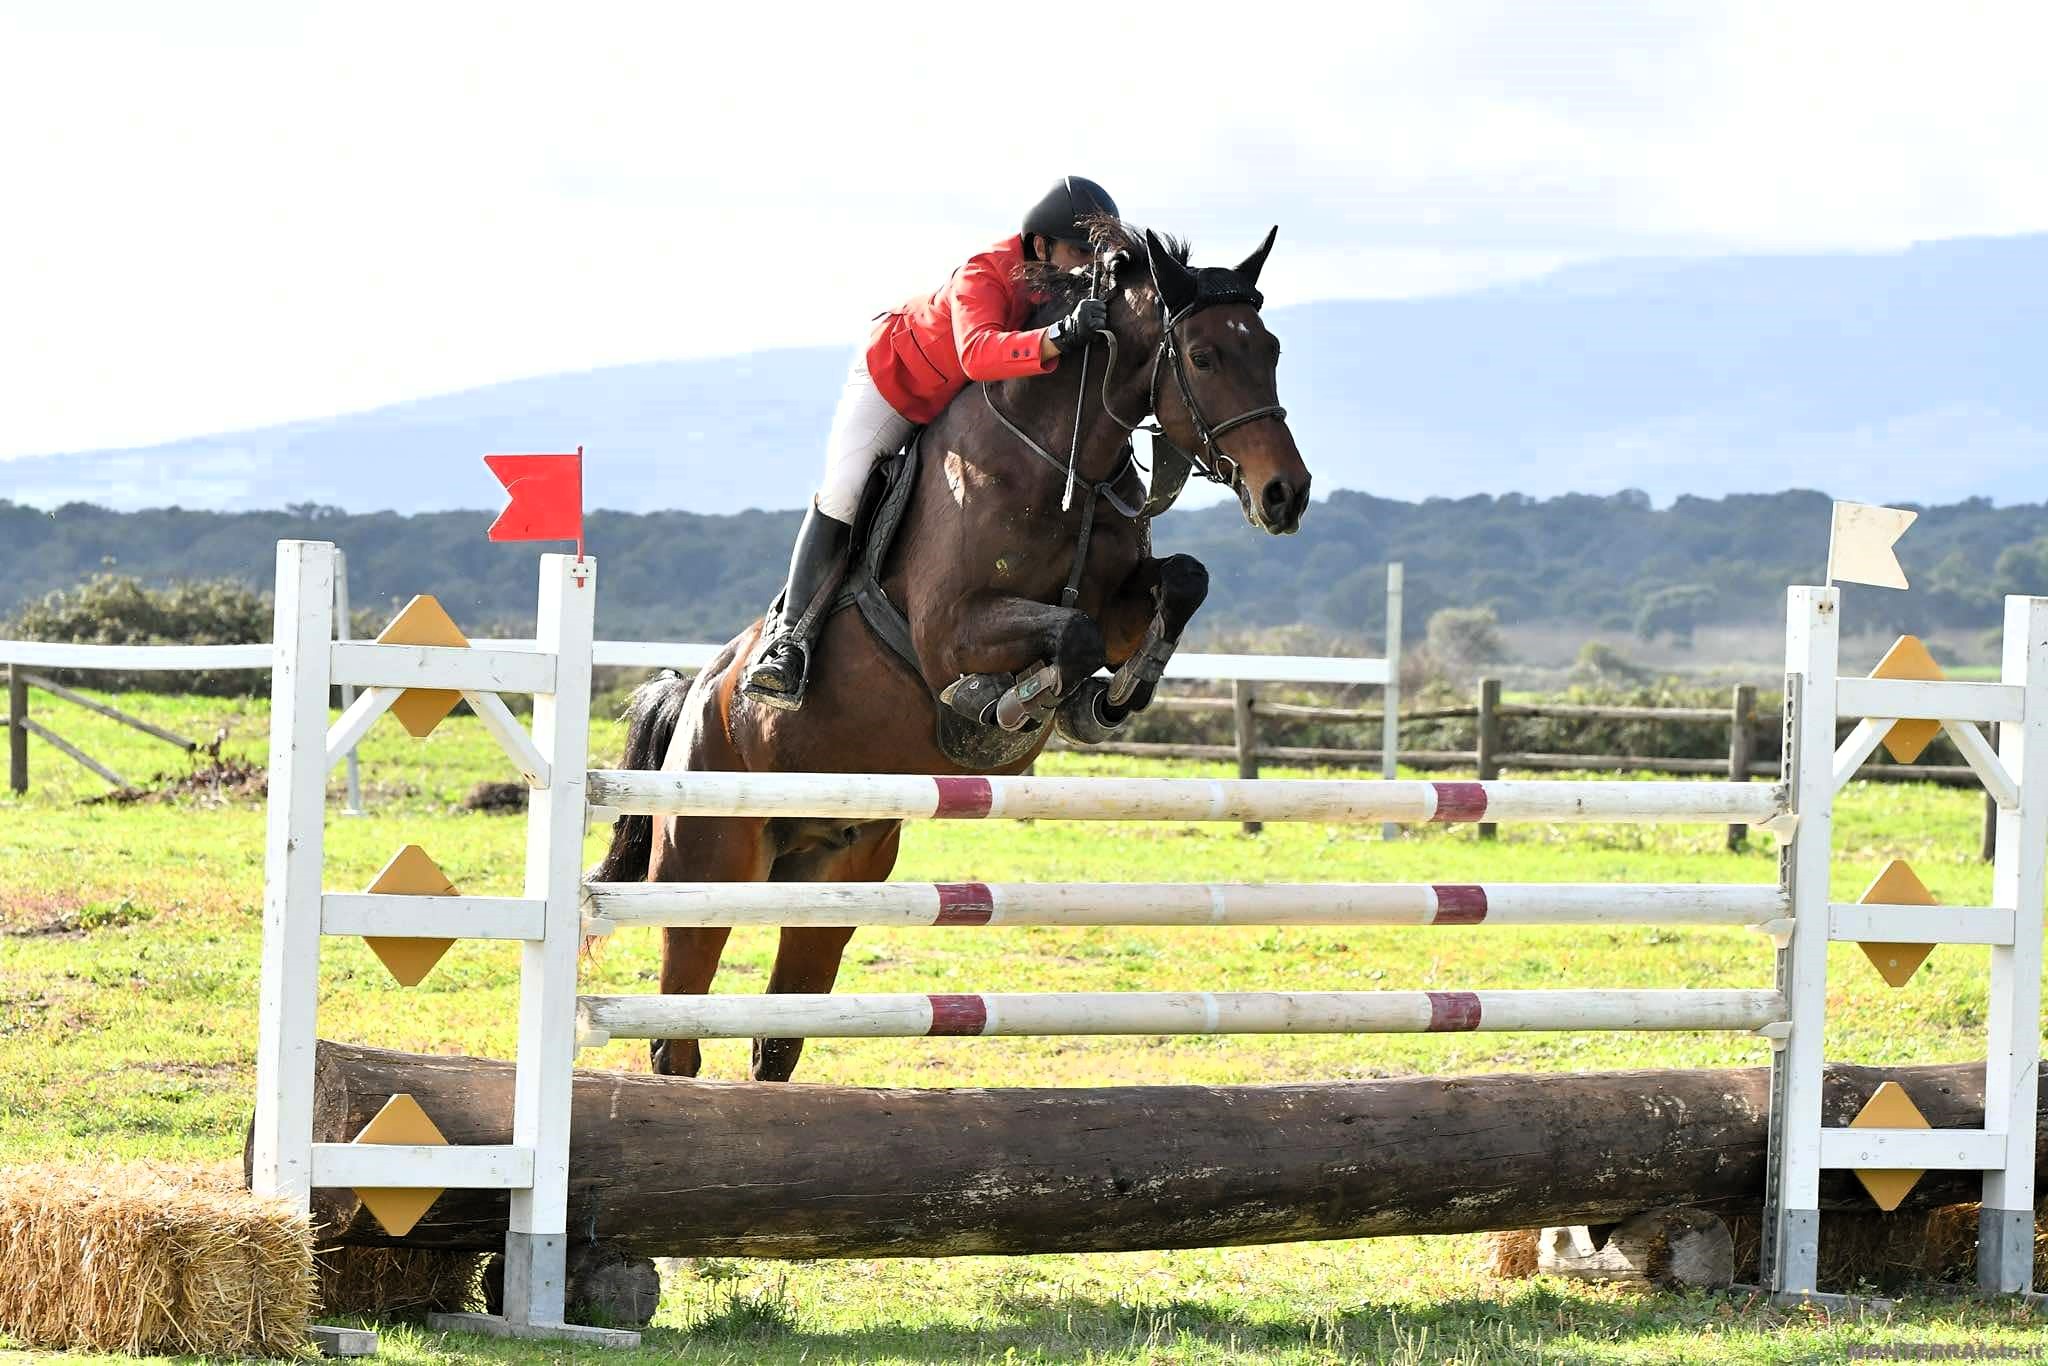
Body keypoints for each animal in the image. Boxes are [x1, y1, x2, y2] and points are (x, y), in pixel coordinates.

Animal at [593, 222, 1310, 1081]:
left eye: (1270, 348)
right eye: (1202, 357)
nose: (1286, 494)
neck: (1060, 458)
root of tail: (696, 695)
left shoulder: (1118, 599)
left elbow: (1178, 585)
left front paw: (1108, 698)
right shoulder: (949, 630)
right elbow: (1066, 638)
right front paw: (1009, 706)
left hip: (837, 875)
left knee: (777, 1039)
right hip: (707, 868)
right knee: (678, 1037)